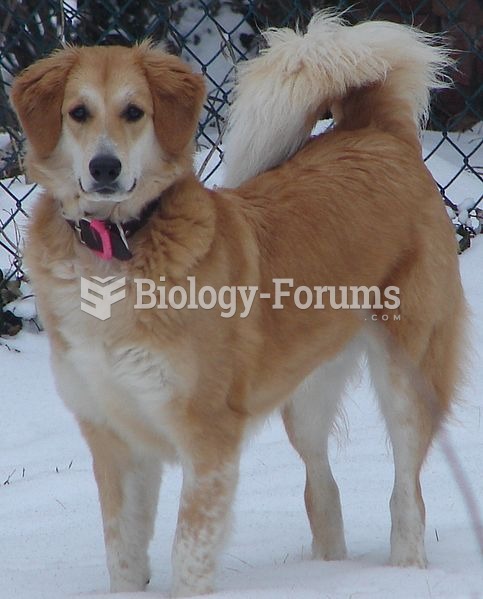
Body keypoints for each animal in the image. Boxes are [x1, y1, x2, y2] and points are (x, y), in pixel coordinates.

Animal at [10, 10, 466, 599]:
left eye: (134, 112)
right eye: (78, 113)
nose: (105, 167)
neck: (116, 249)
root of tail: (377, 131)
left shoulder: (208, 436)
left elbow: (188, 552)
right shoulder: (116, 438)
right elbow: (124, 554)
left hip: (407, 374)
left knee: (406, 491)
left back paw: (403, 572)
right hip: (305, 394)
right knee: (322, 488)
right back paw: (328, 571)